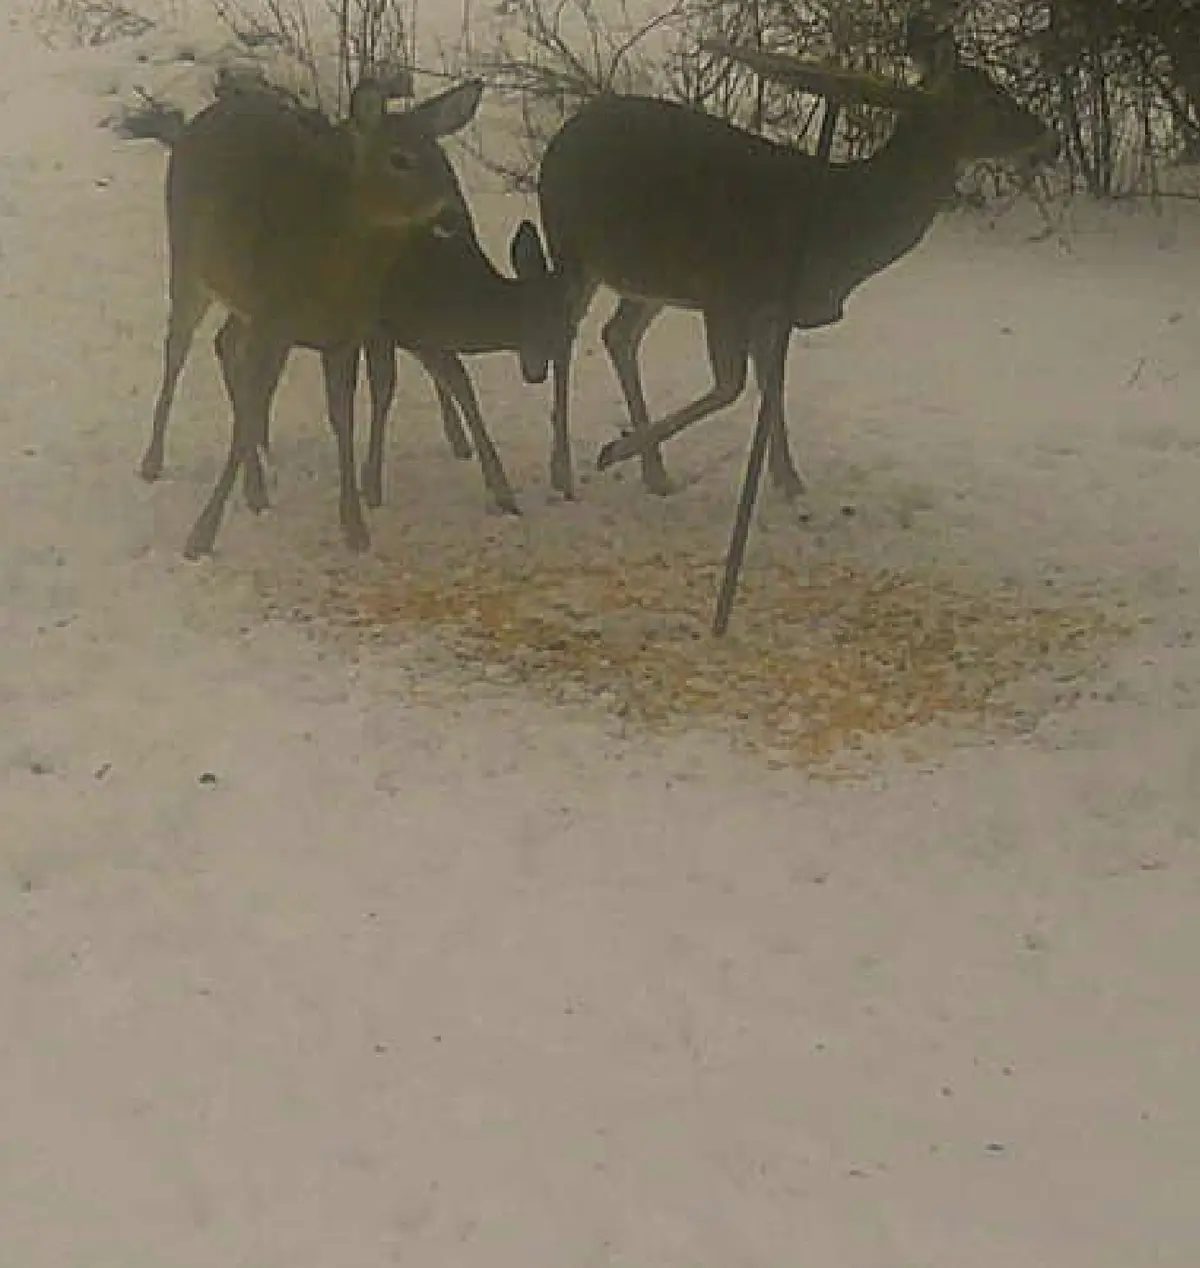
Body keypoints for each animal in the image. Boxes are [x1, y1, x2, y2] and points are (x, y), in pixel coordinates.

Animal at [138, 69, 485, 558]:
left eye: (442, 156)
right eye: (399, 158)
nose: (451, 213)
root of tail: (198, 121)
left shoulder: (342, 335)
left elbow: (342, 420)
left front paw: (355, 527)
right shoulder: (275, 321)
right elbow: (247, 418)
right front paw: (200, 535)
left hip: (244, 304)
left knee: (224, 344)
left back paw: (256, 486)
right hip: (189, 263)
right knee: (177, 348)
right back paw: (153, 461)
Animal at [533, 6, 1058, 506]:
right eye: (990, 100)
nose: (1048, 139)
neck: (839, 225)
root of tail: (559, 141)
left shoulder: (770, 309)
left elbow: (772, 386)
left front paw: (789, 480)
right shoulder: (730, 290)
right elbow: (731, 387)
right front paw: (612, 449)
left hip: (650, 276)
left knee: (618, 334)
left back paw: (655, 472)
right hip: (571, 245)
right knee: (564, 332)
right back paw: (563, 471)